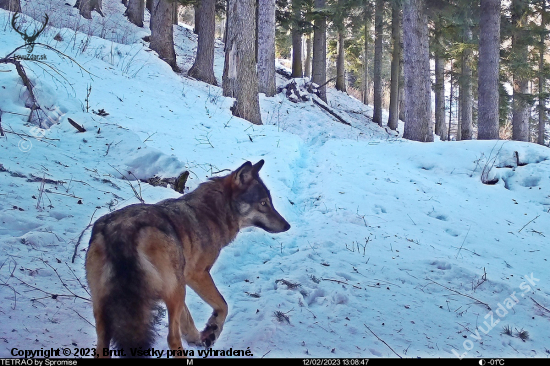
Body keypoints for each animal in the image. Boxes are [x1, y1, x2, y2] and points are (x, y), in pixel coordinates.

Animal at [84, 160, 292, 358]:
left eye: (270, 201)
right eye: (264, 203)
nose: (287, 225)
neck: (213, 212)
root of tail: (122, 232)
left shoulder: (181, 279)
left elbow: (188, 319)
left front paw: (199, 337)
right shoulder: (197, 275)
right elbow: (223, 305)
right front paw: (213, 329)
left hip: (109, 307)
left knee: (102, 346)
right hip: (175, 292)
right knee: (172, 338)